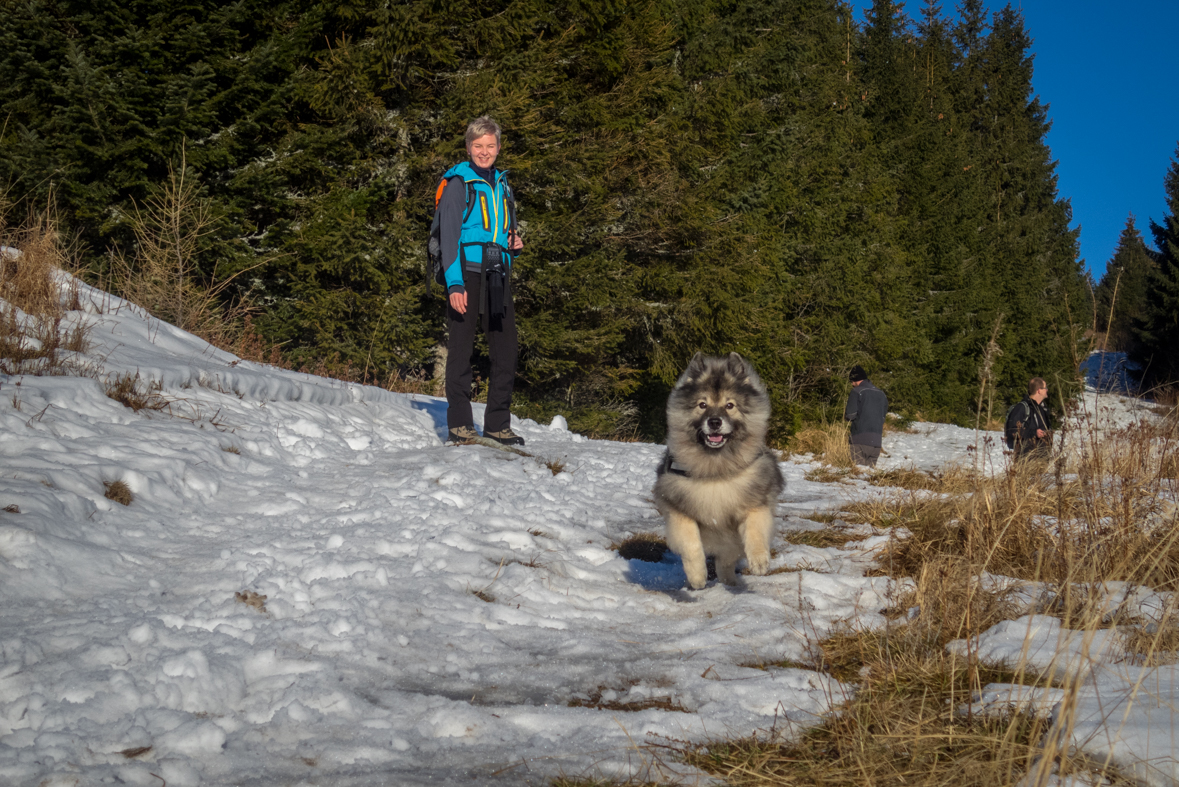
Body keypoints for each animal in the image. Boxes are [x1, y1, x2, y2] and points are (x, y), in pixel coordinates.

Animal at [655, 353, 782, 586]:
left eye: (730, 405)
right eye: (702, 404)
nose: (714, 422)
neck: (716, 470)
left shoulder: (755, 502)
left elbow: (755, 529)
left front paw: (760, 561)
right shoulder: (677, 507)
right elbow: (690, 541)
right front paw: (697, 576)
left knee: (725, 563)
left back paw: (731, 582)